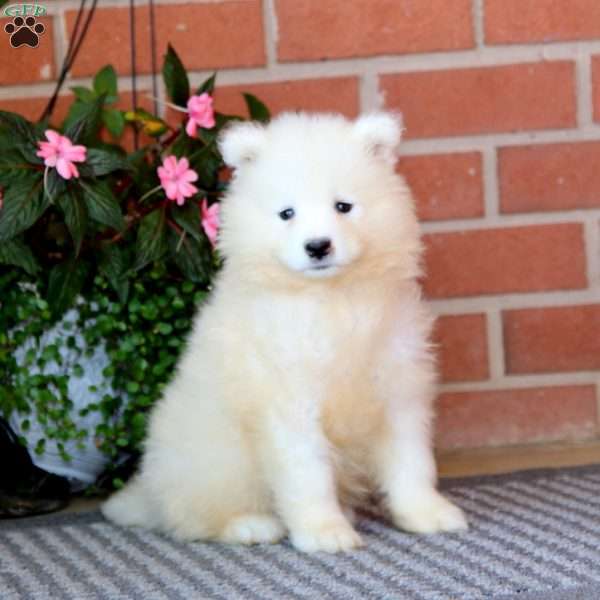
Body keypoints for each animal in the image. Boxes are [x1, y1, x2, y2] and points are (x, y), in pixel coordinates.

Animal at [102, 112, 468, 552]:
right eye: (286, 213)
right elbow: (307, 475)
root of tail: (150, 492)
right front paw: (325, 532)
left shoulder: (398, 387)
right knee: (194, 518)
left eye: (343, 206)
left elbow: (412, 464)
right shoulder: (289, 403)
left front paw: (428, 514)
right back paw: (252, 526)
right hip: (219, 460)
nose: (318, 246)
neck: (331, 299)